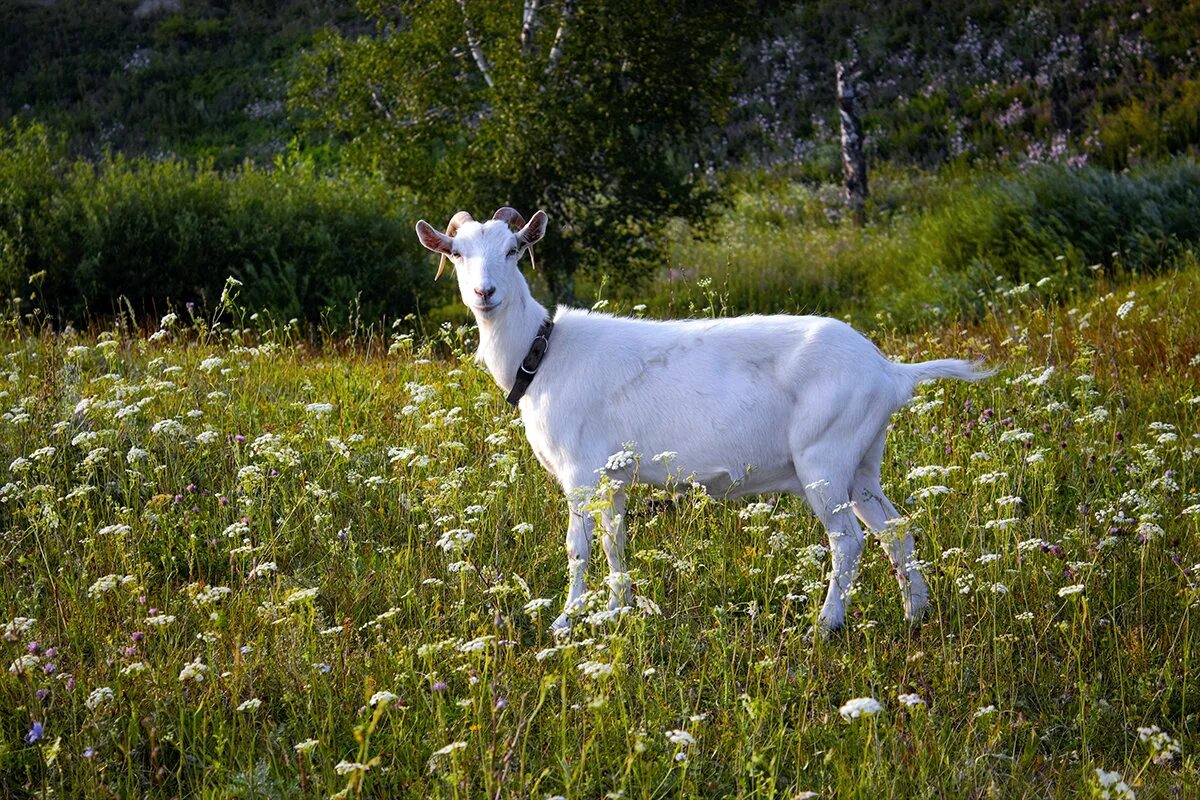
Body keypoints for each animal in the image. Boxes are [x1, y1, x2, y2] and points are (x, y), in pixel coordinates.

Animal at [417, 209, 988, 633]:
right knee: (897, 529)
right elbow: (614, 543)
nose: (484, 293)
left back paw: (825, 625)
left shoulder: (580, 472)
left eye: (513, 249)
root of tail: (889, 371)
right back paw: (916, 613)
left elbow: (579, 548)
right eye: (457, 253)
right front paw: (617, 611)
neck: (542, 355)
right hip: (863, 461)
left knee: (847, 540)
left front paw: (565, 621)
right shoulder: (613, 477)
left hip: (825, 456)